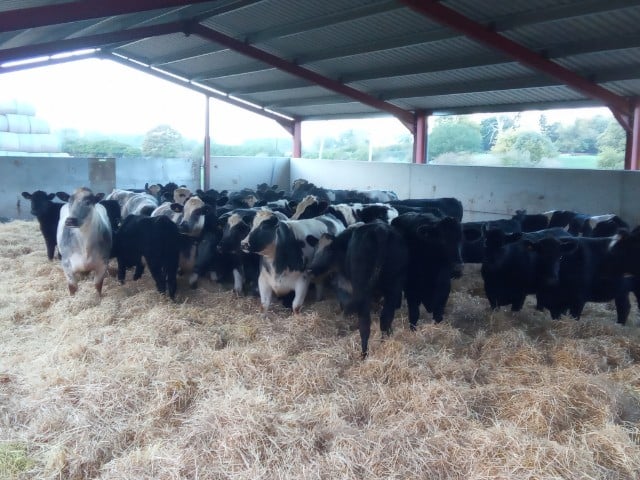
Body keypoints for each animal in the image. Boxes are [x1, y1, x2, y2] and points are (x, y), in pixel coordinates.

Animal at [308, 220, 408, 356]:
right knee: (385, 319)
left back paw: (364, 354)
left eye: (329, 250)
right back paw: (384, 342)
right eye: (315, 248)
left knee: (365, 325)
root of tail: (380, 230)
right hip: (394, 285)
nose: (310, 270)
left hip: (363, 290)